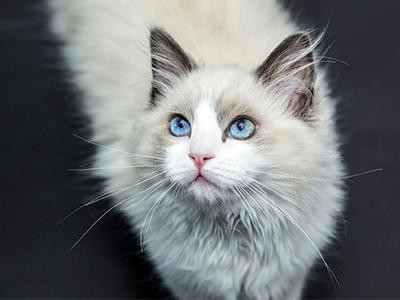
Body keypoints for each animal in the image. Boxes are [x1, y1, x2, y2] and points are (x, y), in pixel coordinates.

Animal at [49, 1, 344, 298]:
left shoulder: (285, 282)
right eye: (180, 126)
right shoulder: (186, 284)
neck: (229, 239)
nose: (199, 156)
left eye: (241, 128)